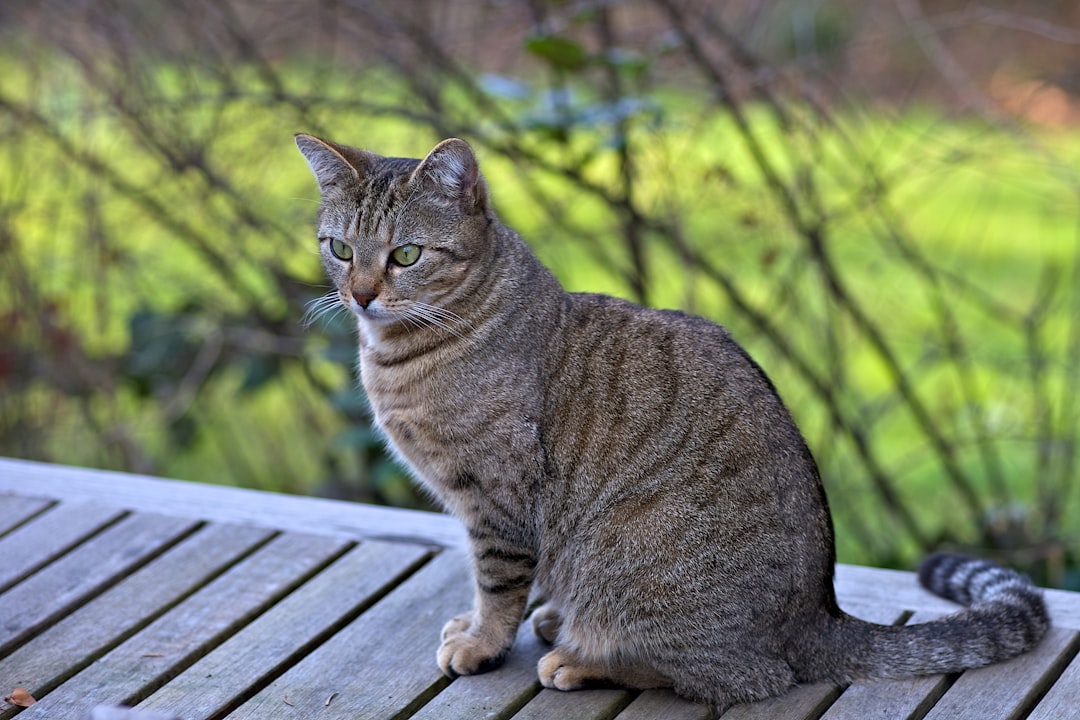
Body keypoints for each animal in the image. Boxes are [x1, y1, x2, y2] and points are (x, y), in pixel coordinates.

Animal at [293, 133, 1045, 708]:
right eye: (339, 248)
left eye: (406, 255)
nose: (360, 294)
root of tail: (818, 616)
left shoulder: (497, 501)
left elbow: (497, 586)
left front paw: (481, 643)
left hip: (637, 566)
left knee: (741, 677)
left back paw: (581, 659)